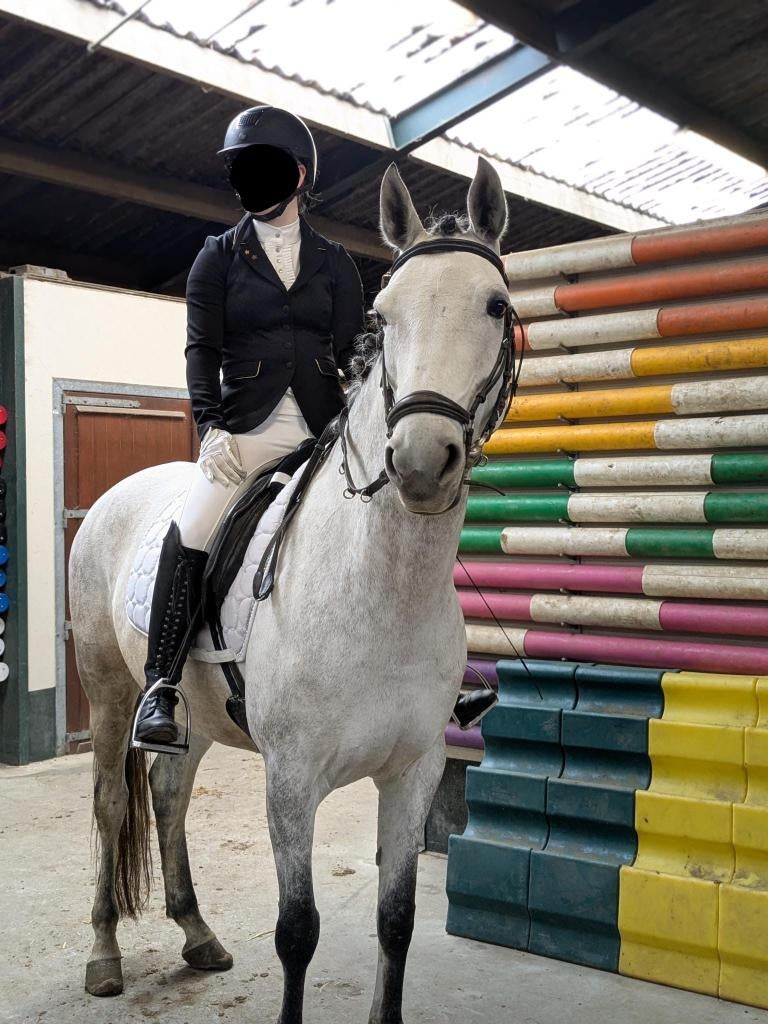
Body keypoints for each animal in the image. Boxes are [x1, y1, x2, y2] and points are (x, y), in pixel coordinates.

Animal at [69, 155, 512, 1023]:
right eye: (383, 316)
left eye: (496, 306)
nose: (420, 461)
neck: (380, 590)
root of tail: (119, 493)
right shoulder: (291, 779)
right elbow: (298, 932)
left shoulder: (413, 772)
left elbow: (398, 921)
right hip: (107, 691)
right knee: (110, 805)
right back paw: (103, 955)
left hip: (195, 711)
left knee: (168, 791)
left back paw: (197, 934)